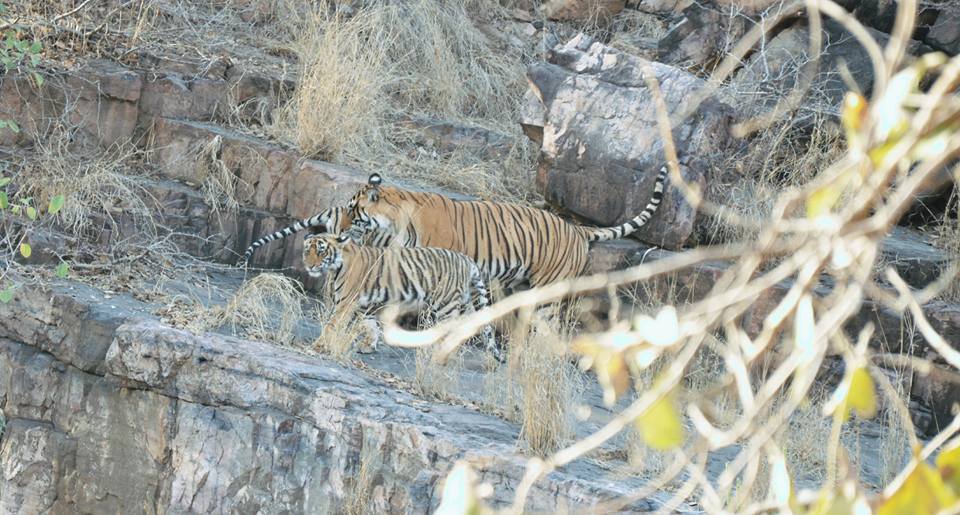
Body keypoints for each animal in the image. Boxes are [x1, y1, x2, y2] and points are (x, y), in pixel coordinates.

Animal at [304, 234, 498, 358]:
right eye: (307, 251)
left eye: (321, 252)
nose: (309, 266)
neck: (336, 266)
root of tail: (467, 259)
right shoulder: (365, 305)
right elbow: (371, 325)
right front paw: (369, 346)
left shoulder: (346, 303)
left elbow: (331, 324)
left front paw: (318, 345)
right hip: (468, 303)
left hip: (446, 305)